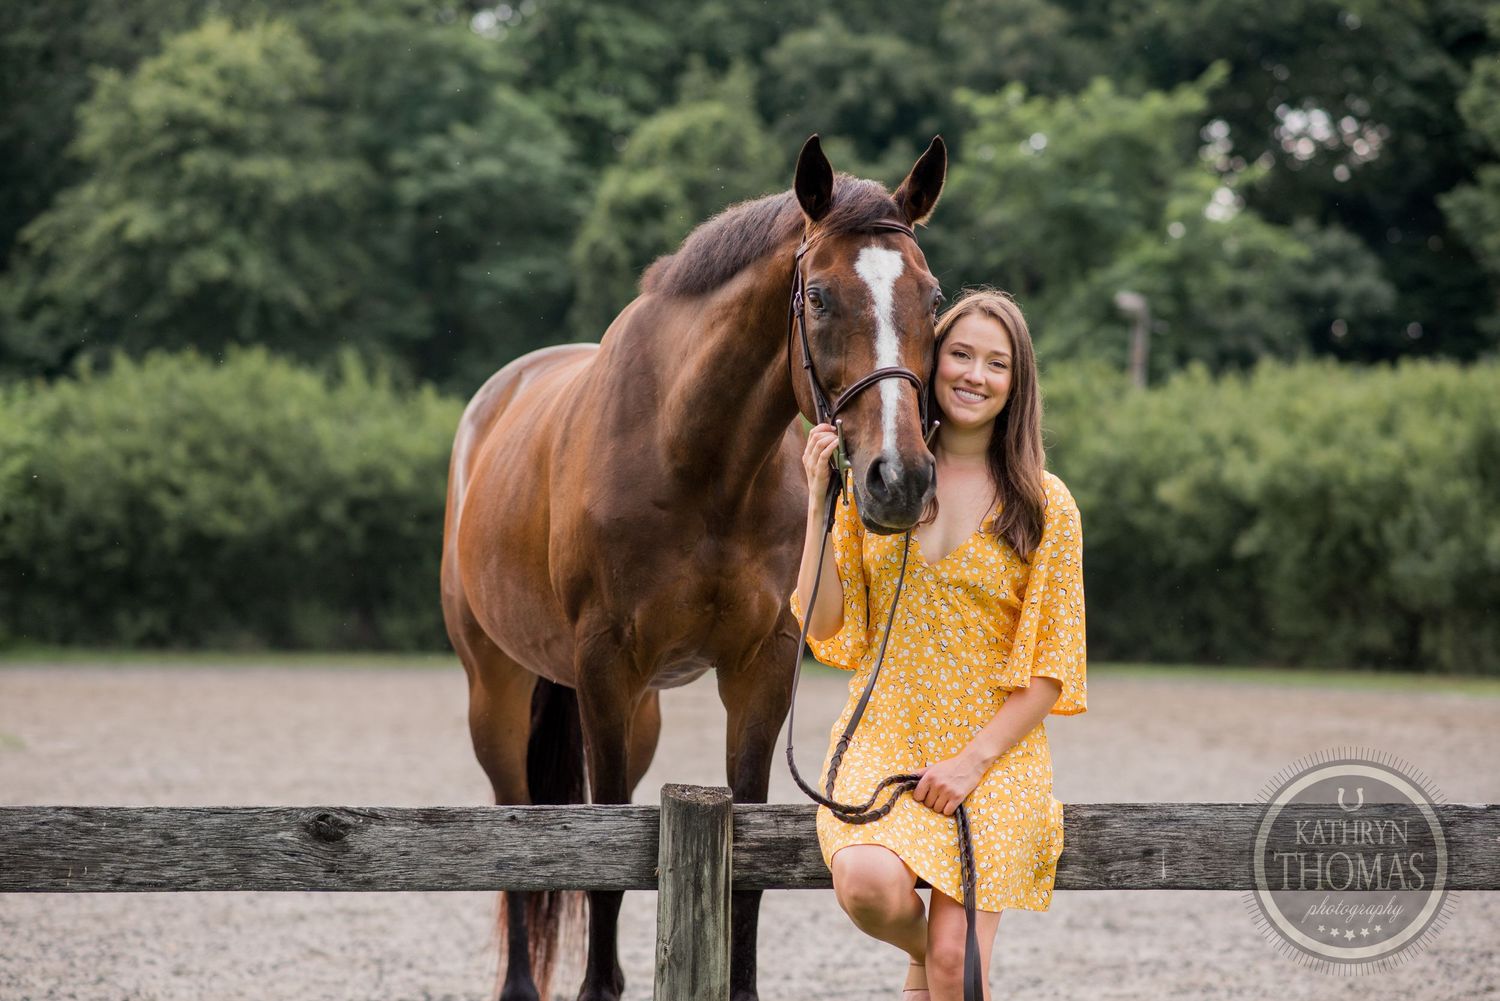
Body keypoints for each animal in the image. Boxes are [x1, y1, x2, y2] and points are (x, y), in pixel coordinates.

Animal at [440, 134, 947, 1001]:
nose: (900, 478)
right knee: (518, 829)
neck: (696, 457)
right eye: (818, 296)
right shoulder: (604, 664)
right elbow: (599, 854)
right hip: (498, 689)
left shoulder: (759, 668)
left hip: (638, 707)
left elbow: (746, 851)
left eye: (934, 296)